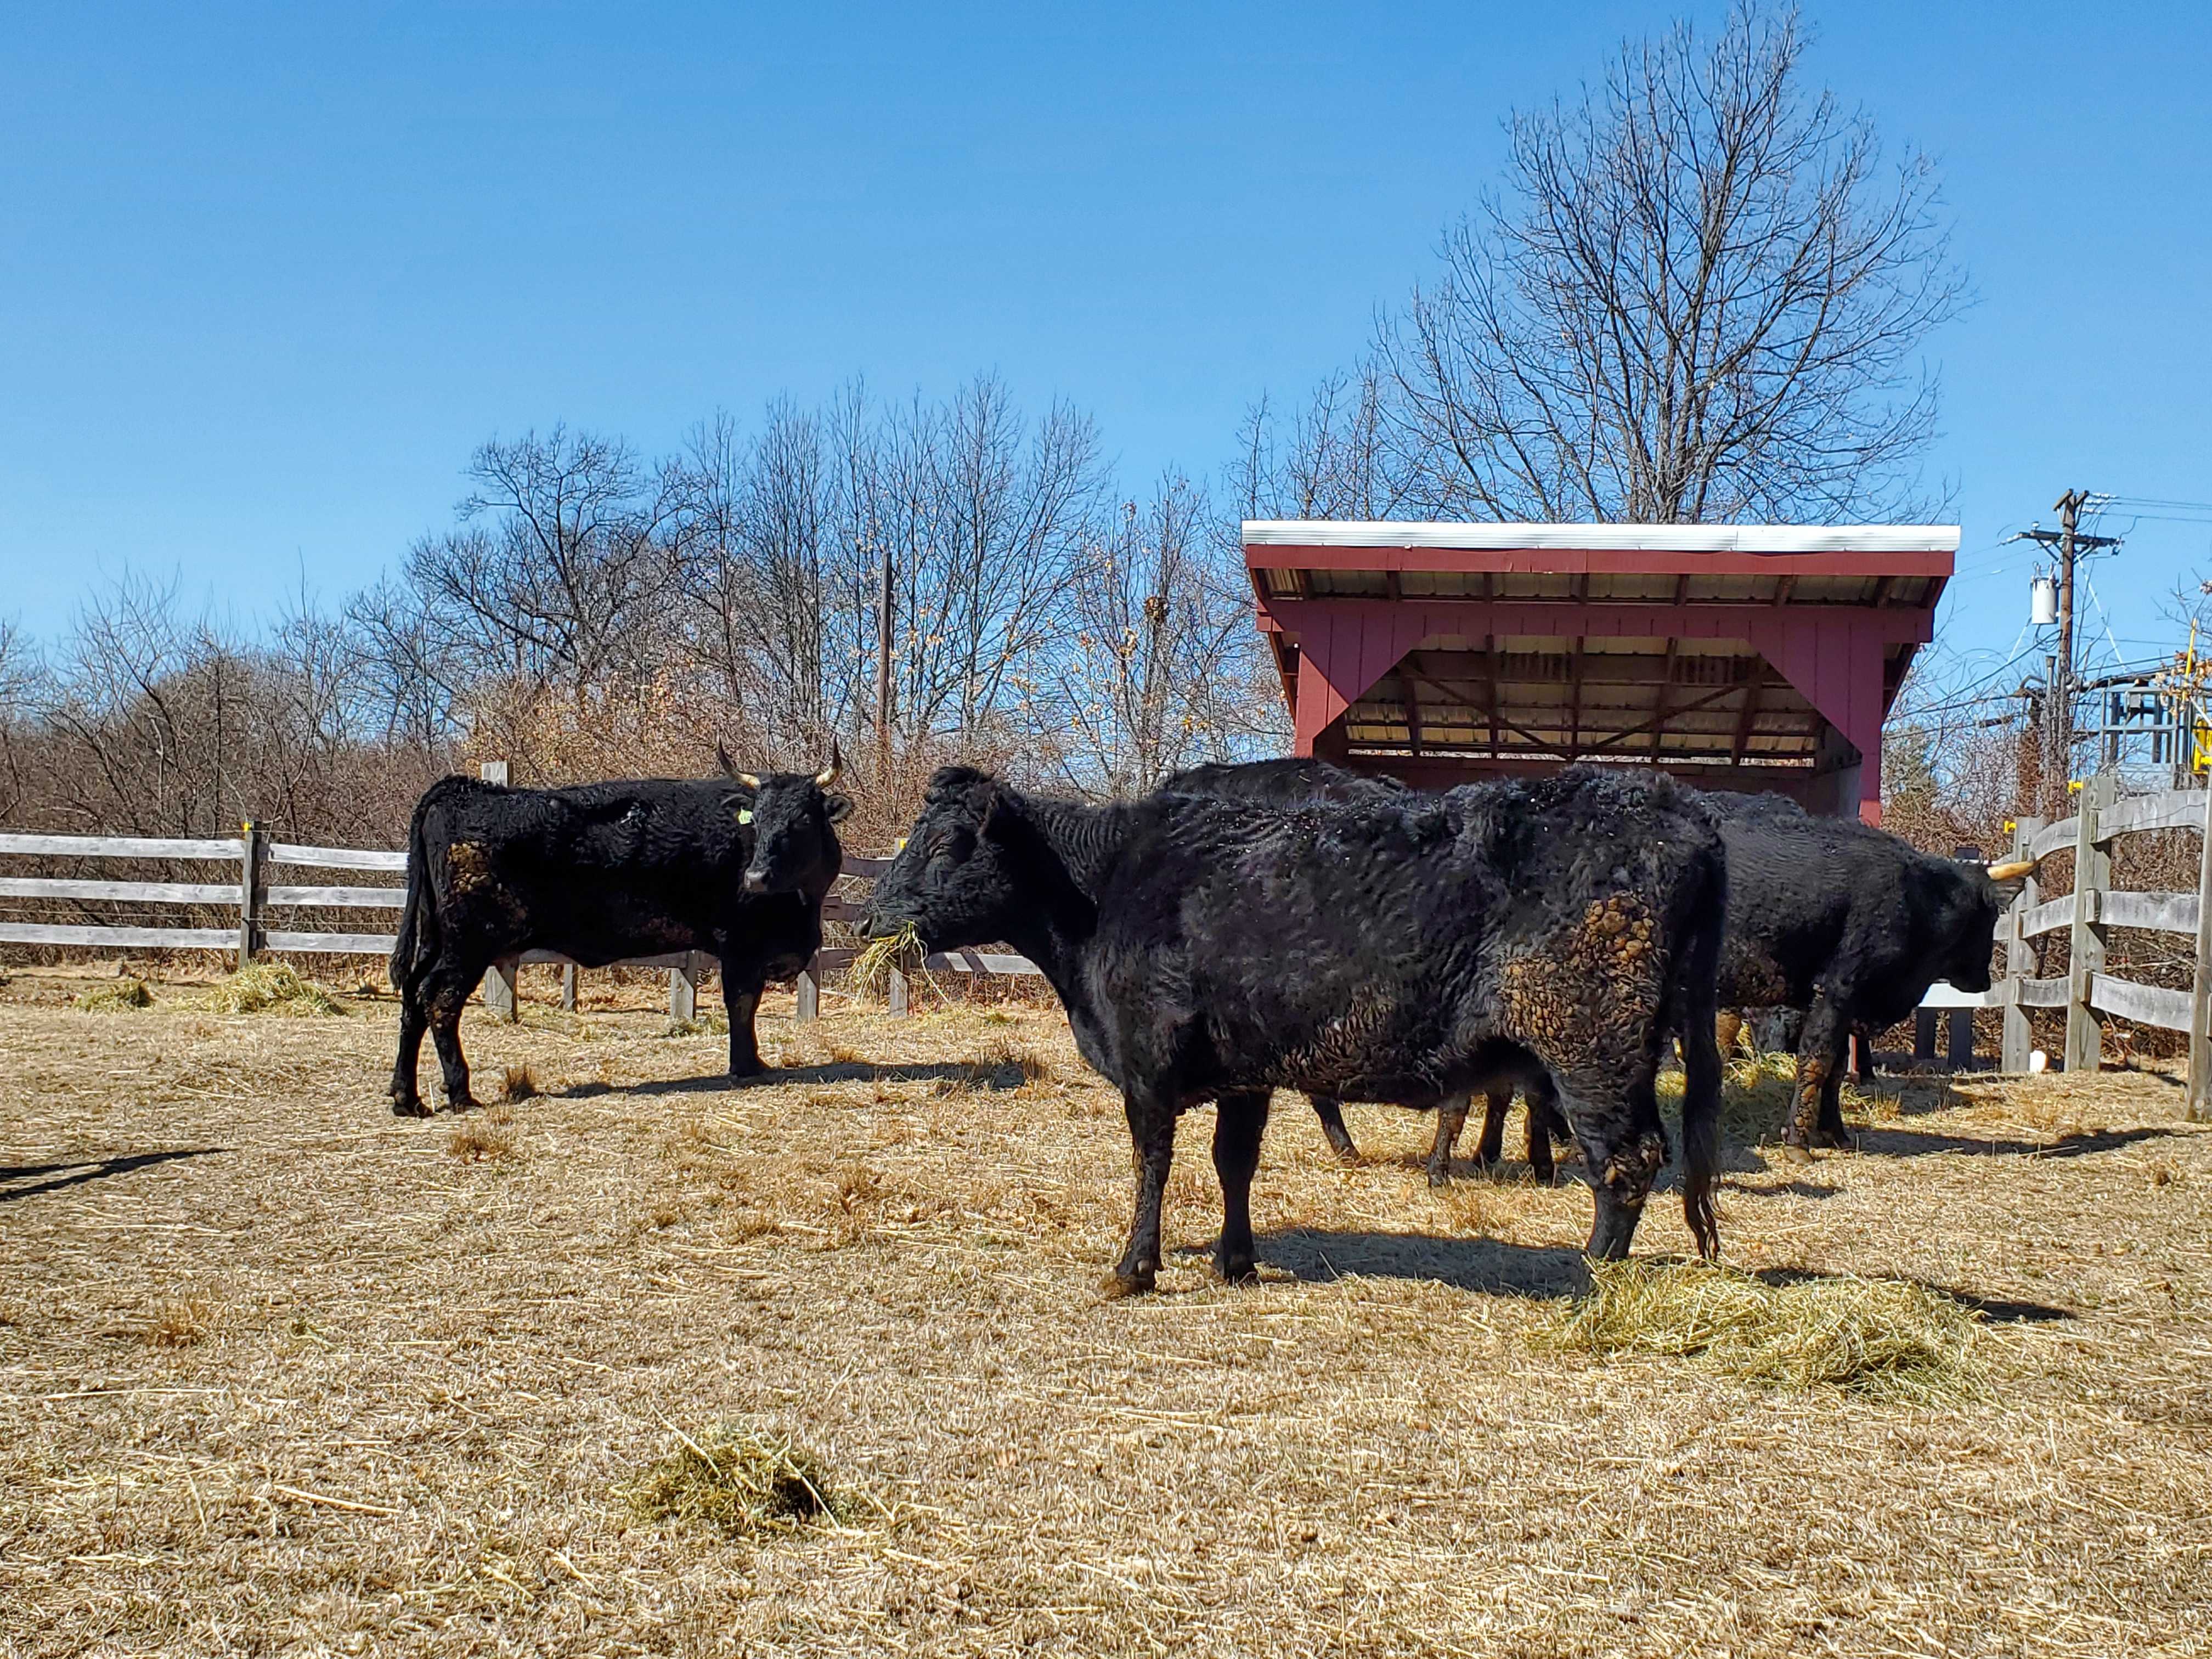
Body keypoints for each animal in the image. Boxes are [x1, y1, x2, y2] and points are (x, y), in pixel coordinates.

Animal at [393, 752, 849, 1119]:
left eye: (803, 819)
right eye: (757, 819)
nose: (756, 878)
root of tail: (464, 790)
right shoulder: (739, 945)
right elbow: (742, 1004)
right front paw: (746, 1066)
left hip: (437, 938)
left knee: (413, 996)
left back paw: (407, 1098)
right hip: (469, 942)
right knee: (439, 999)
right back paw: (460, 1093)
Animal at [862, 761, 1725, 1291]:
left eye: (947, 843)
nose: (871, 917)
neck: (1106, 890)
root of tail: (1670, 802)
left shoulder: (1148, 1061)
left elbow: (1152, 1164)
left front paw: (1134, 1268)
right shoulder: (1245, 1071)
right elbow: (1233, 1163)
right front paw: (1236, 1261)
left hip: (1592, 1048)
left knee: (1626, 1161)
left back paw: (1594, 1275)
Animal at [1424, 787, 2026, 1167]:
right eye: (1988, 917)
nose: (1982, 979)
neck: (1914, 896)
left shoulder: (1829, 997)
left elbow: (1834, 1070)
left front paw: (1832, 1131)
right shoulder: (1839, 986)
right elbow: (1817, 1063)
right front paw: (1800, 1140)